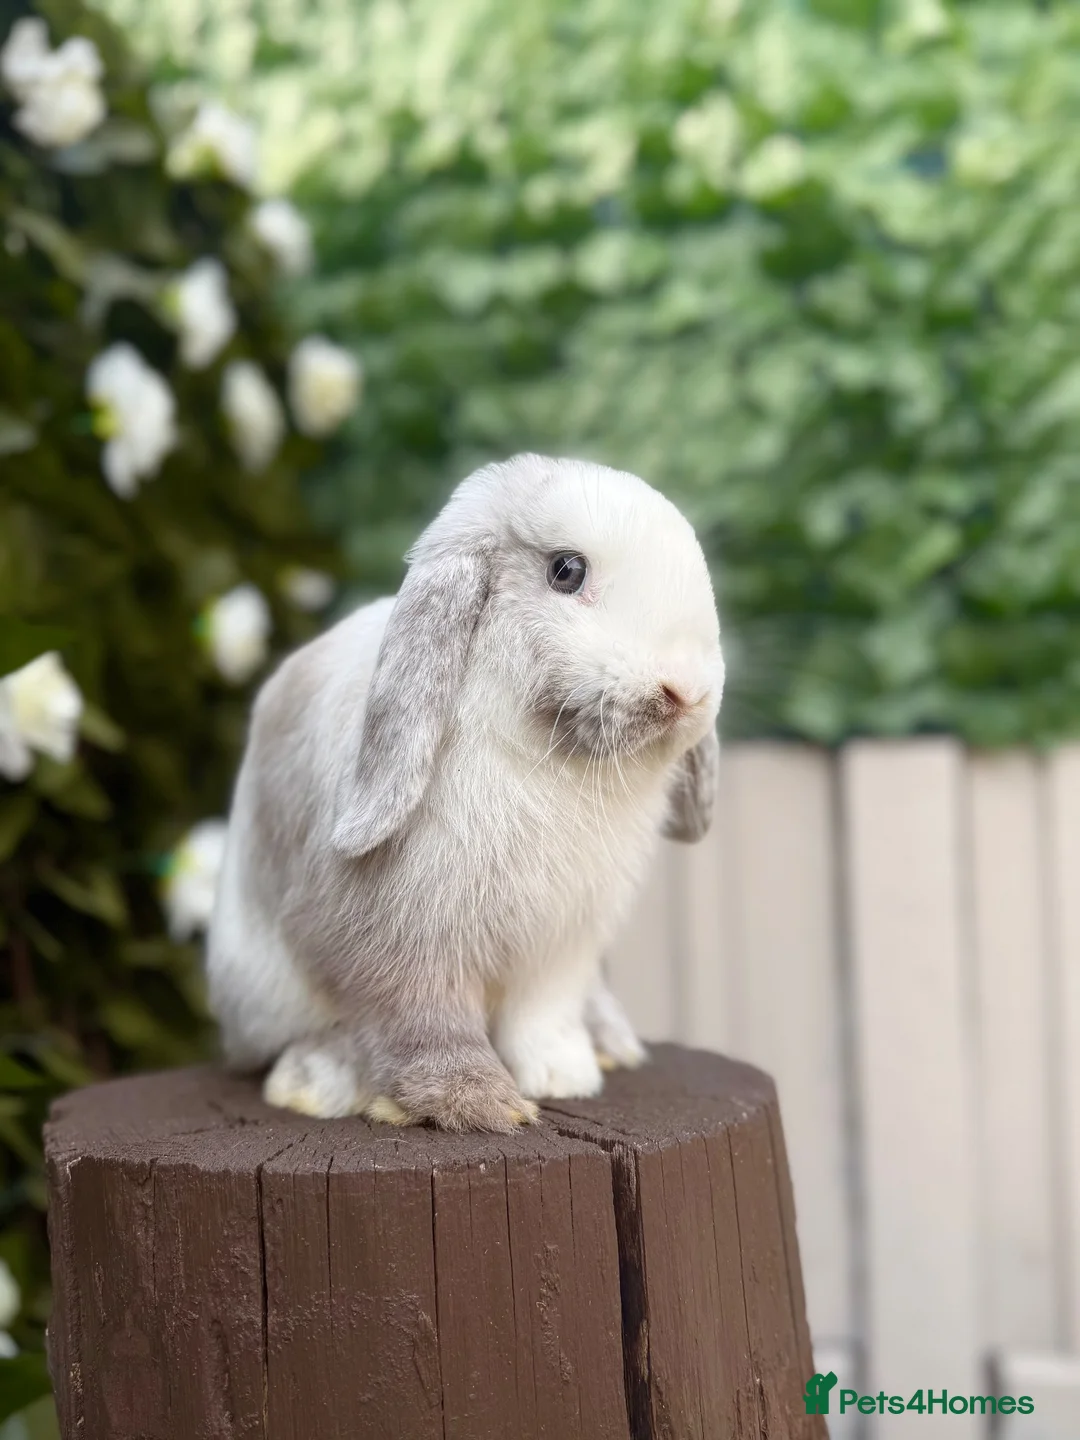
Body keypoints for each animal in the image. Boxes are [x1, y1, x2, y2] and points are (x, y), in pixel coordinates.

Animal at [206, 453, 724, 1132]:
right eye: (566, 570)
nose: (686, 691)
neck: (547, 762)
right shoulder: (405, 942)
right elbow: (426, 1025)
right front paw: (482, 1105)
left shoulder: (561, 947)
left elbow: (543, 1017)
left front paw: (564, 1078)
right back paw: (315, 1082)